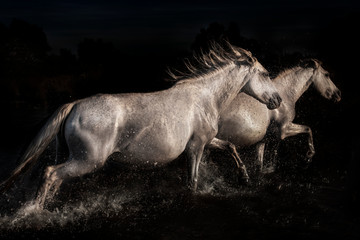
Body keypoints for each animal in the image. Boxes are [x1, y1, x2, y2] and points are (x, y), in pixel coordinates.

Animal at [0, 42, 282, 208]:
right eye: (265, 73)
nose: (277, 100)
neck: (205, 98)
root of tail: (74, 105)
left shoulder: (206, 140)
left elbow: (231, 147)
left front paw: (244, 177)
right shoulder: (196, 147)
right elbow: (192, 181)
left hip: (73, 158)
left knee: (54, 180)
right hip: (87, 161)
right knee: (49, 173)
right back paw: (34, 212)